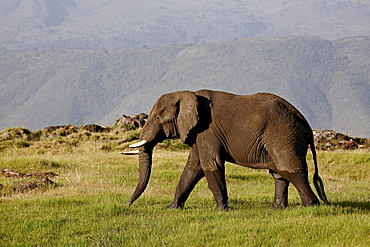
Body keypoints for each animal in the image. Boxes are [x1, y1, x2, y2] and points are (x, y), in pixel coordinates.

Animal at [127, 89, 330, 209]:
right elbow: (193, 168)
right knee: (280, 173)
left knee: (290, 169)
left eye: (157, 119)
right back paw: (278, 208)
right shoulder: (198, 133)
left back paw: (313, 206)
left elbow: (211, 165)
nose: (128, 204)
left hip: (283, 135)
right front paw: (173, 208)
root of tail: (306, 123)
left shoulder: (207, 130)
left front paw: (221, 210)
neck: (188, 94)